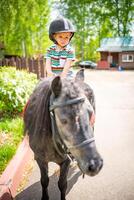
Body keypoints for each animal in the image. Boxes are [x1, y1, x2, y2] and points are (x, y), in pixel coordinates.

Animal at [23, 69, 103, 200]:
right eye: (63, 120)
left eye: (90, 114)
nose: (96, 164)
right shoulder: (40, 159)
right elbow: (44, 181)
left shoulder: (66, 161)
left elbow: (62, 184)